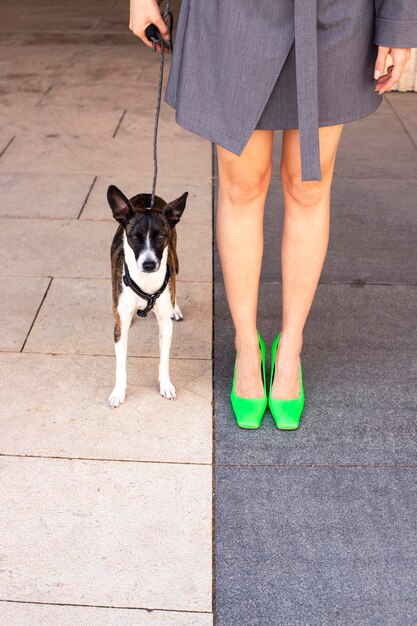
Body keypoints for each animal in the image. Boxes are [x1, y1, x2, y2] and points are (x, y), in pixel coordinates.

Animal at [107, 184, 187, 404]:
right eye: (135, 237)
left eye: (160, 237)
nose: (149, 264)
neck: (145, 281)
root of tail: (147, 196)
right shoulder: (119, 327)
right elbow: (120, 365)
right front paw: (119, 391)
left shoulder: (165, 326)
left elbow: (164, 360)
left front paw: (165, 385)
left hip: (176, 262)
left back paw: (175, 308)